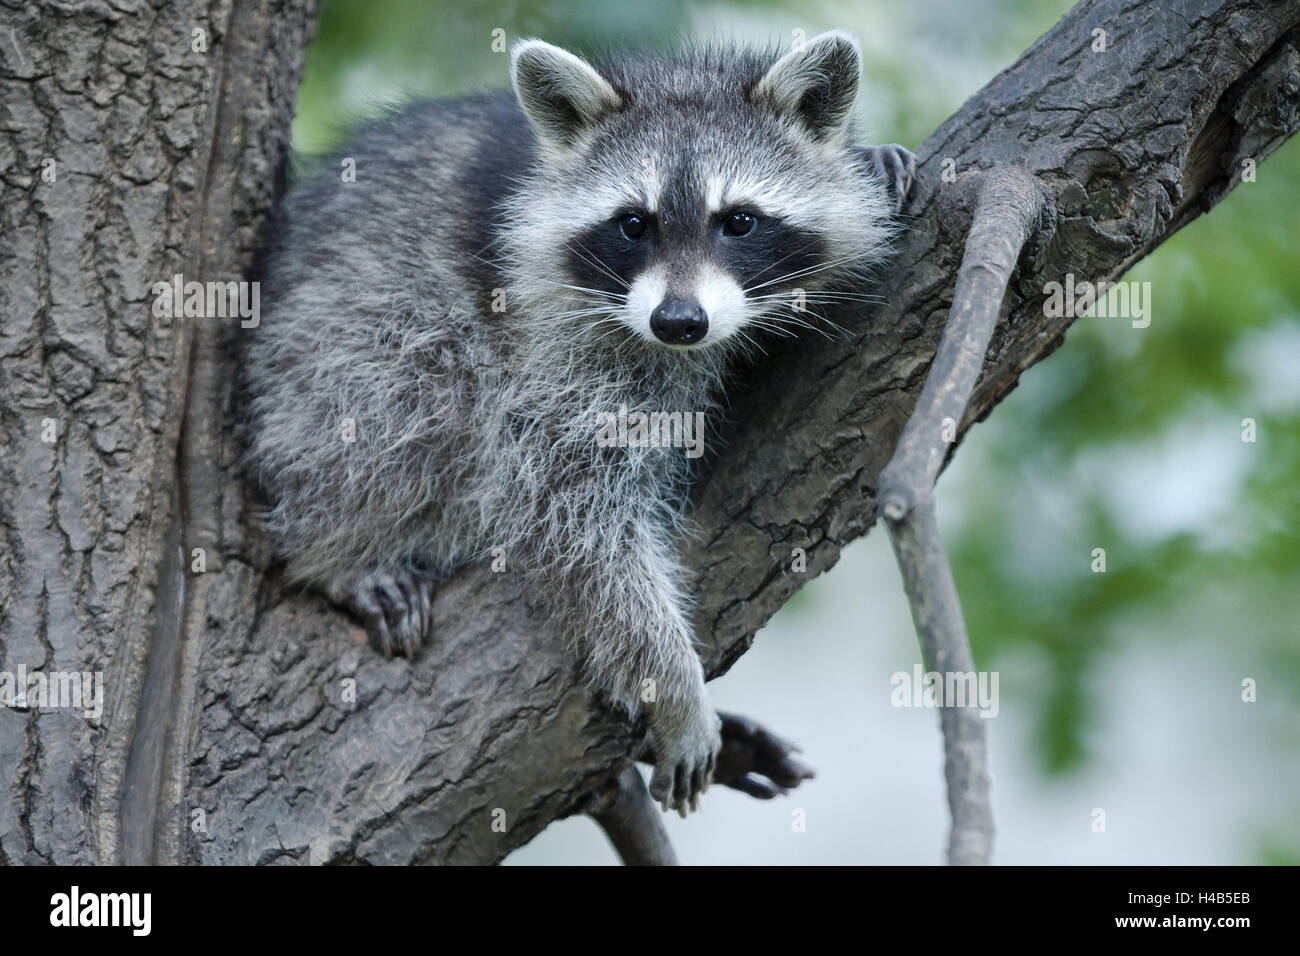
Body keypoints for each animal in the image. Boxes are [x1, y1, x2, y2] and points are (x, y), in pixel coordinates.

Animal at [244, 29, 915, 811]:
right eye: (633, 224)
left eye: (739, 221)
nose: (678, 322)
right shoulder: (552, 348)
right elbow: (573, 518)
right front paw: (671, 682)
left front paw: (871, 161)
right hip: (328, 337)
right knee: (399, 391)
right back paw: (336, 548)